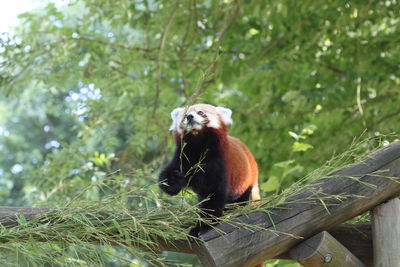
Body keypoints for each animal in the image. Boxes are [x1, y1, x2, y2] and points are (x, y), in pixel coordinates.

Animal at [158, 104, 260, 239]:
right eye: (185, 115)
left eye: (200, 112)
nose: (190, 117)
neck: (198, 145)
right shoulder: (183, 156)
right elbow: (166, 177)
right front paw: (174, 181)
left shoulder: (217, 161)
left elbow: (213, 194)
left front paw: (202, 227)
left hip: (246, 181)